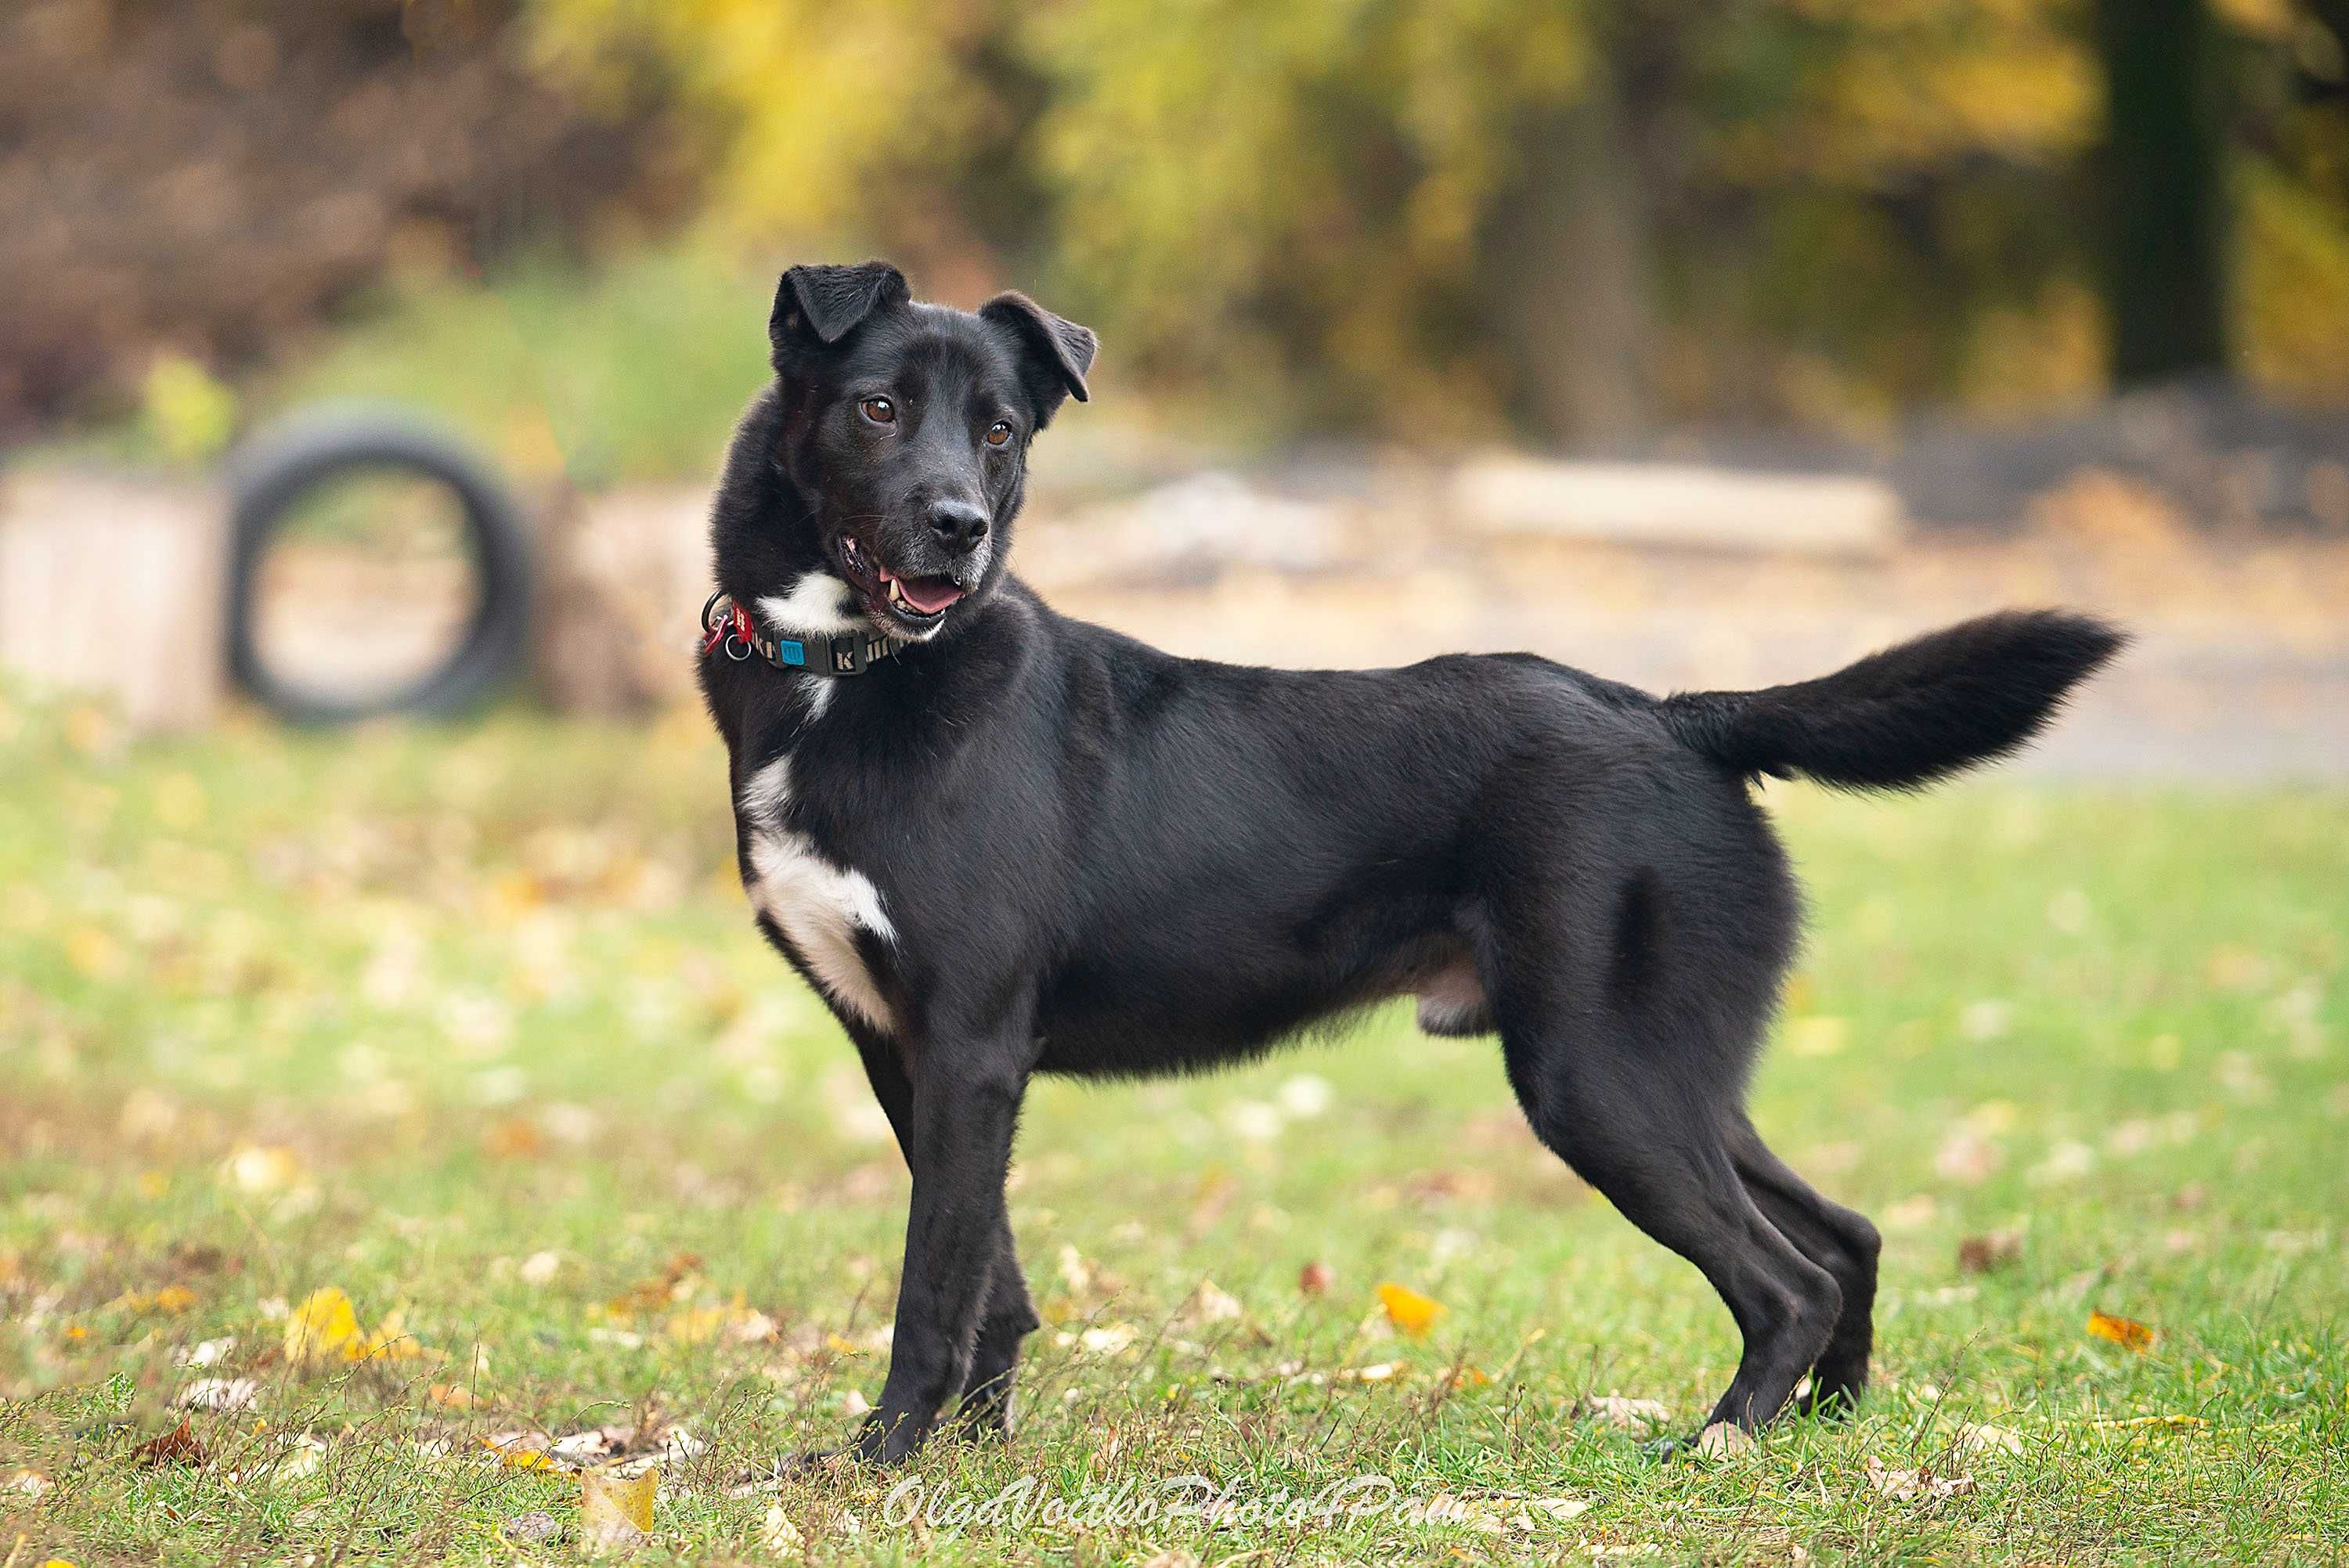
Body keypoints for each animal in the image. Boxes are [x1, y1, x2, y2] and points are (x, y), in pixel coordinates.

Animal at [695, 262, 2133, 1465]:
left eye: (1000, 432)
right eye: (880, 407)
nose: (959, 528)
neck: (848, 679)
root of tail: (1673, 713)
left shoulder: (972, 1046)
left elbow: (933, 1276)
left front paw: (886, 1455)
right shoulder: (913, 1051)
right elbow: (989, 1269)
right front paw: (974, 1445)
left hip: (1595, 1078)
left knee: (1793, 1276)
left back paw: (1723, 1439)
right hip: (1674, 1066)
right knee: (1849, 1234)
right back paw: (1825, 1432)